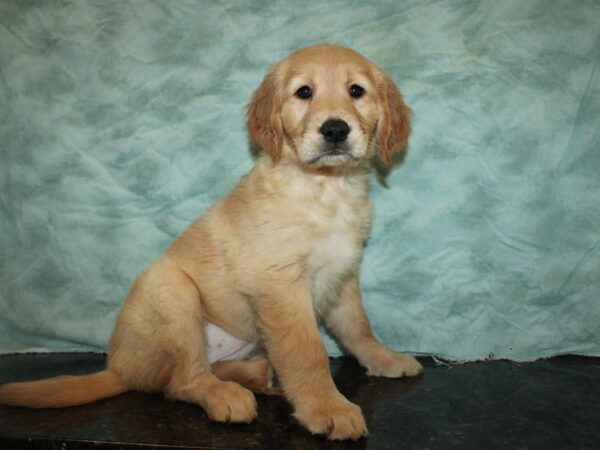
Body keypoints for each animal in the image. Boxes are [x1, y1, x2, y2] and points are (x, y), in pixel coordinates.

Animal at [0, 44, 422, 442]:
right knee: (182, 381)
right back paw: (225, 395)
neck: (326, 189)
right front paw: (327, 407)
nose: (335, 130)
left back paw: (260, 375)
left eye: (356, 91)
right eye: (304, 92)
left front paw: (384, 358)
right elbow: (307, 353)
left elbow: (358, 327)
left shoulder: (342, 277)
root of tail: (120, 367)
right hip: (172, 293)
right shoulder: (281, 286)